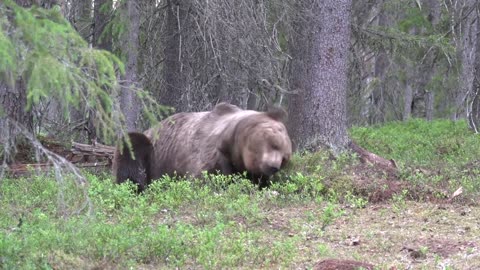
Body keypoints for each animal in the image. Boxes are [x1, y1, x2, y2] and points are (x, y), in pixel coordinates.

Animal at [112, 102, 292, 191]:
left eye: (284, 158)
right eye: (273, 144)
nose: (273, 166)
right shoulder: (209, 155)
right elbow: (204, 180)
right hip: (151, 150)